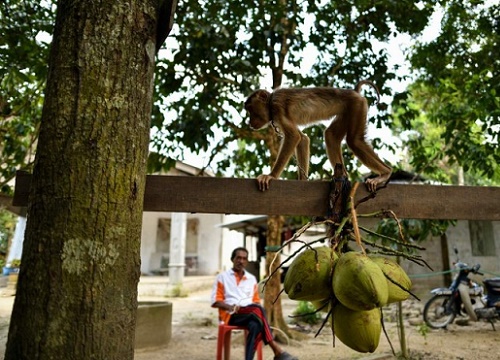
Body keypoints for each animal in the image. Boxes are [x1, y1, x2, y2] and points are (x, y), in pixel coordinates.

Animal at [244, 80, 392, 193]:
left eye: (251, 110)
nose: (250, 122)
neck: (270, 102)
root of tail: (354, 92)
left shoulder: (277, 106)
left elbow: (293, 137)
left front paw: (271, 176)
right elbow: (302, 139)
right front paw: (303, 181)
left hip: (357, 104)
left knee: (354, 141)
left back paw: (385, 174)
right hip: (348, 109)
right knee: (331, 136)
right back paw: (342, 177)